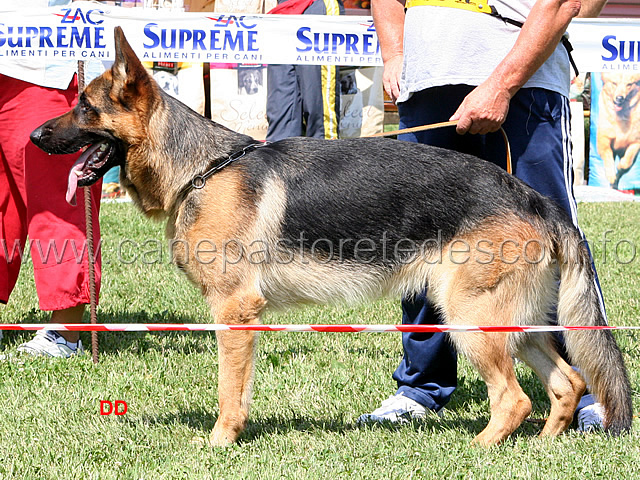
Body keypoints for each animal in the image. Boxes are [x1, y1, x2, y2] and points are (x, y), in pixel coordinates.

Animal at [28, 29, 632, 446]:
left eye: (84, 107)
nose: (33, 136)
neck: (202, 168)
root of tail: (538, 201)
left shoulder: (233, 310)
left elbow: (228, 391)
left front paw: (220, 443)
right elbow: (239, 388)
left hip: (471, 320)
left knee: (514, 399)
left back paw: (481, 449)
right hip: (516, 322)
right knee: (567, 384)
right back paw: (545, 446)